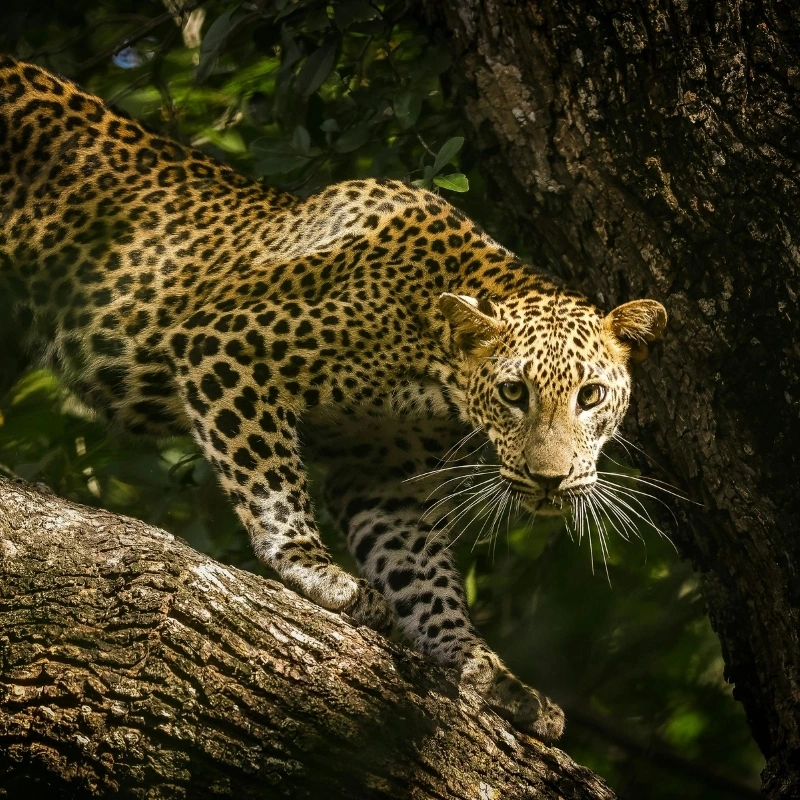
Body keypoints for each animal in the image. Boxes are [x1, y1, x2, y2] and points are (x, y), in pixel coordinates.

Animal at [0, 55, 667, 743]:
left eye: (590, 395)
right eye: (514, 393)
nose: (550, 479)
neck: (433, 365)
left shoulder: (377, 471)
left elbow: (421, 572)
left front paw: (482, 668)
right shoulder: (223, 347)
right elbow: (271, 485)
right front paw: (313, 569)